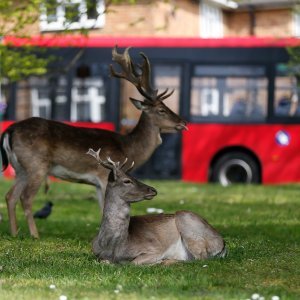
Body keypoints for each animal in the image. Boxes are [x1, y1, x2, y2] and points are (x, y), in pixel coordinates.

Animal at [0, 45, 188, 238]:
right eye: (161, 110)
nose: (182, 122)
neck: (129, 148)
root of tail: (9, 130)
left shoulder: (99, 183)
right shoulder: (104, 175)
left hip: (20, 168)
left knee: (10, 196)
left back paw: (14, 234)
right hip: (36, 165)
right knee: (25, 197)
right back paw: (34, 235)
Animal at [86, 148, 225, 264]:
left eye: (134, 177)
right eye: (127, 180)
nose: (153, 190)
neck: (114, 246)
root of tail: (223, 244)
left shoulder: (154, 248)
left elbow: (133, 263)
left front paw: (157, 262)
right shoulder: (96, 254)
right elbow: (104, 262)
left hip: (189, 225)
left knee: (200, 258)